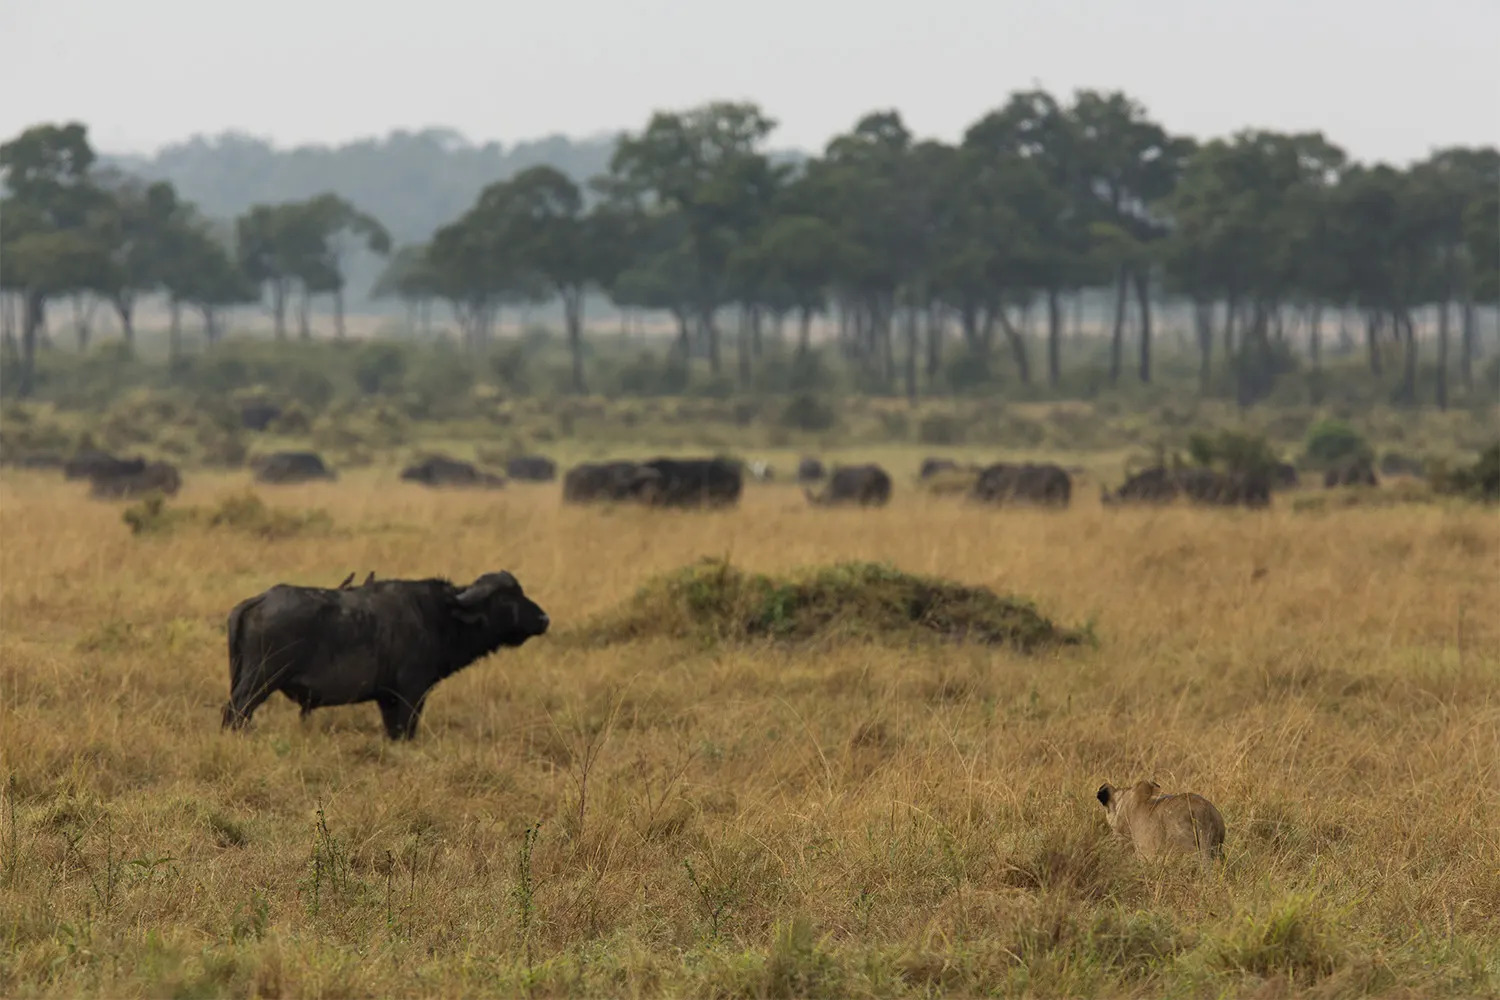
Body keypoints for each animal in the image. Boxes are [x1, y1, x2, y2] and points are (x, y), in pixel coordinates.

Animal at [222, 566, 552, 740]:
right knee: (235, 712)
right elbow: (406, 730)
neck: (437, 615)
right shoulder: (411, 694)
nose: (543, 618)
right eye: (507, 598)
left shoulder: (387, 699)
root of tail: (257, 601)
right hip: (259, 681)